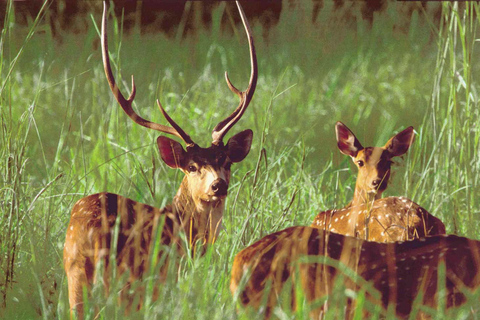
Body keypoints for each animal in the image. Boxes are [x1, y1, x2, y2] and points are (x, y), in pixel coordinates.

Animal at [65, 1, 256, 318]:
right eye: (191, 166)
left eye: (227, 161)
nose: (218, 185)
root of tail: (89, 238)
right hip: (128, 283)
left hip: (76, 279)